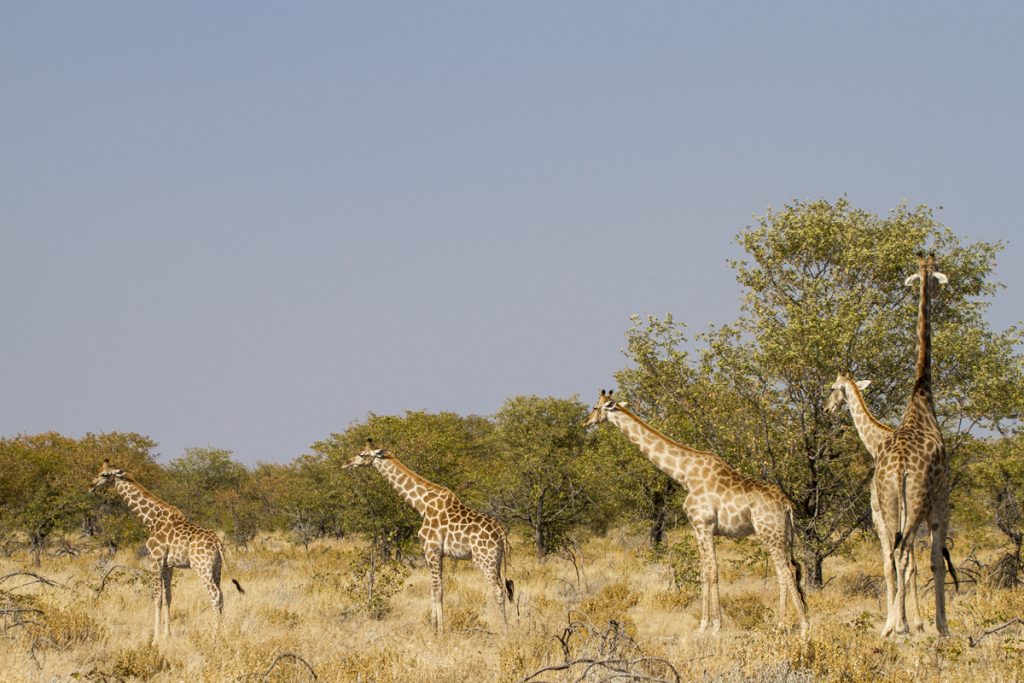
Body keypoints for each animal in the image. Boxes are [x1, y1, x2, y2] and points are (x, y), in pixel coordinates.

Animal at [89, 462, 244, 643]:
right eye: (99, 471)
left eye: (105, 475)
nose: (91, 486)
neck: (151, 519)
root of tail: (217, 542)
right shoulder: (168, 565)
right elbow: (168, 597)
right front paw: (167, 634)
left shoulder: (154, 559)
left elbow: (157, 597)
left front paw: (155, 637)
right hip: (216, 568)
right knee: (221, 595)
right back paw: (223, 632)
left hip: (202, 568)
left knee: (215, 595)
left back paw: (214, 636)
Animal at [342, 440, 516, 634]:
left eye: (362, 454)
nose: (346, 464)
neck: (422, 505)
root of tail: (501, 532)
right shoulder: (438, 554)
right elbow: (436, 590)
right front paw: (434, 628)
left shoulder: (430, 550)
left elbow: (437, 590)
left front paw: (439, 631)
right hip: (497, 560)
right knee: (505, 588)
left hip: (484, 559)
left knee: (498, 590)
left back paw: (505, 631)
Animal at [585, 393, 806, 634]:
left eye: (595, 407)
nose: (586, 423)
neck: (685, 474)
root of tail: (787, 505)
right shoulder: (698, 528)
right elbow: (703, 571)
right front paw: (703, 625)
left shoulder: (704, 524)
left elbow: (712, 571)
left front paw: (716, 626)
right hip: (781, 534)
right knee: (784, 570)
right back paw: (780, 625)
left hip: (770, 532)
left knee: (788, 570)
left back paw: (803, 627)